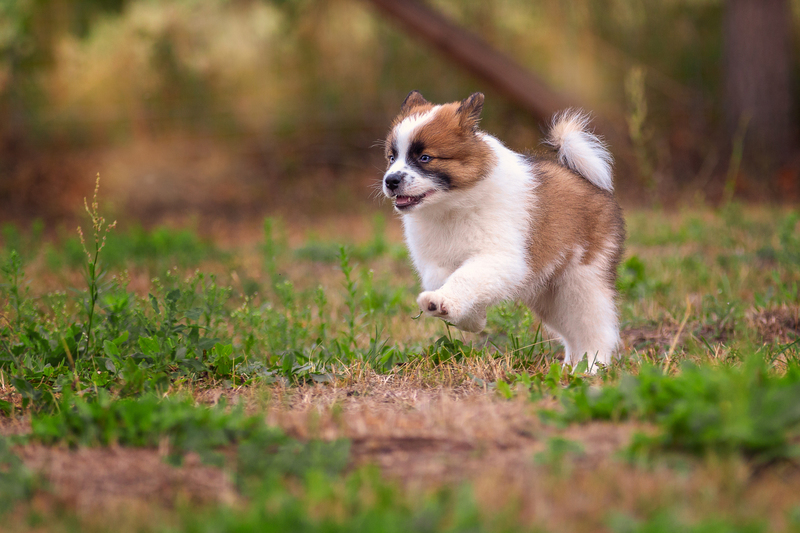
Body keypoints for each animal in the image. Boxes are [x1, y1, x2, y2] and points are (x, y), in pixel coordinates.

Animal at [381, 91, 625, 371]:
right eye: (391, 157)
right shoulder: (435, 264)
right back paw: (569, 366)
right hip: (550, 296)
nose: (390, 180)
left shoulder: (501, 258)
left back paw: (591, 368)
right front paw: (470, 318)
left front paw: (442, 303)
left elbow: (465, 277)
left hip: (582, 282)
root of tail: (586, 179)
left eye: (425, 158)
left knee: (595, 329)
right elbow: (450, 281)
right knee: (571, 332)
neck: (452, 206)